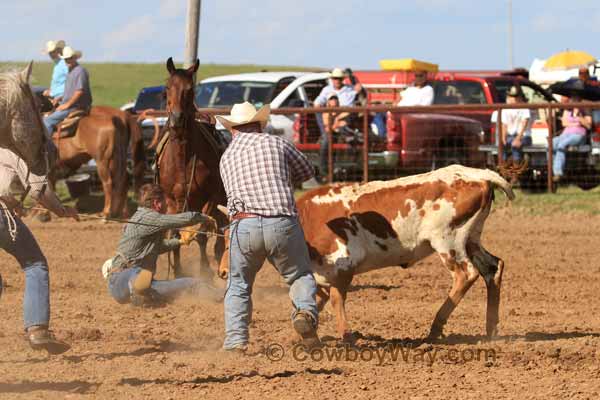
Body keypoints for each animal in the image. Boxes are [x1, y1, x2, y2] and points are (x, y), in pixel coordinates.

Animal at [157, 57, 227, 276]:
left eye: (190, 89)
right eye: (167, 88)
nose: (177, 119)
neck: (182, 160)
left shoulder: (211, 198)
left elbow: (202, 234)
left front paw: (205, 273)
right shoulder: (172, 202)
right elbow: (175, 233)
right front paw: (178, 272)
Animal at [218, 165, 512, 340]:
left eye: (230, 240)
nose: (222, 271)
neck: (307, 218)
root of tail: (479, 175)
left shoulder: (342, 265)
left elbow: (336, 299)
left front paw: (345, 336)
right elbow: (316, 298)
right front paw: (301, 333)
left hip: (448, 241)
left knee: (466, 274)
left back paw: (435, 327)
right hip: (472, 239)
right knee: (492, 267)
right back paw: (491, 328)